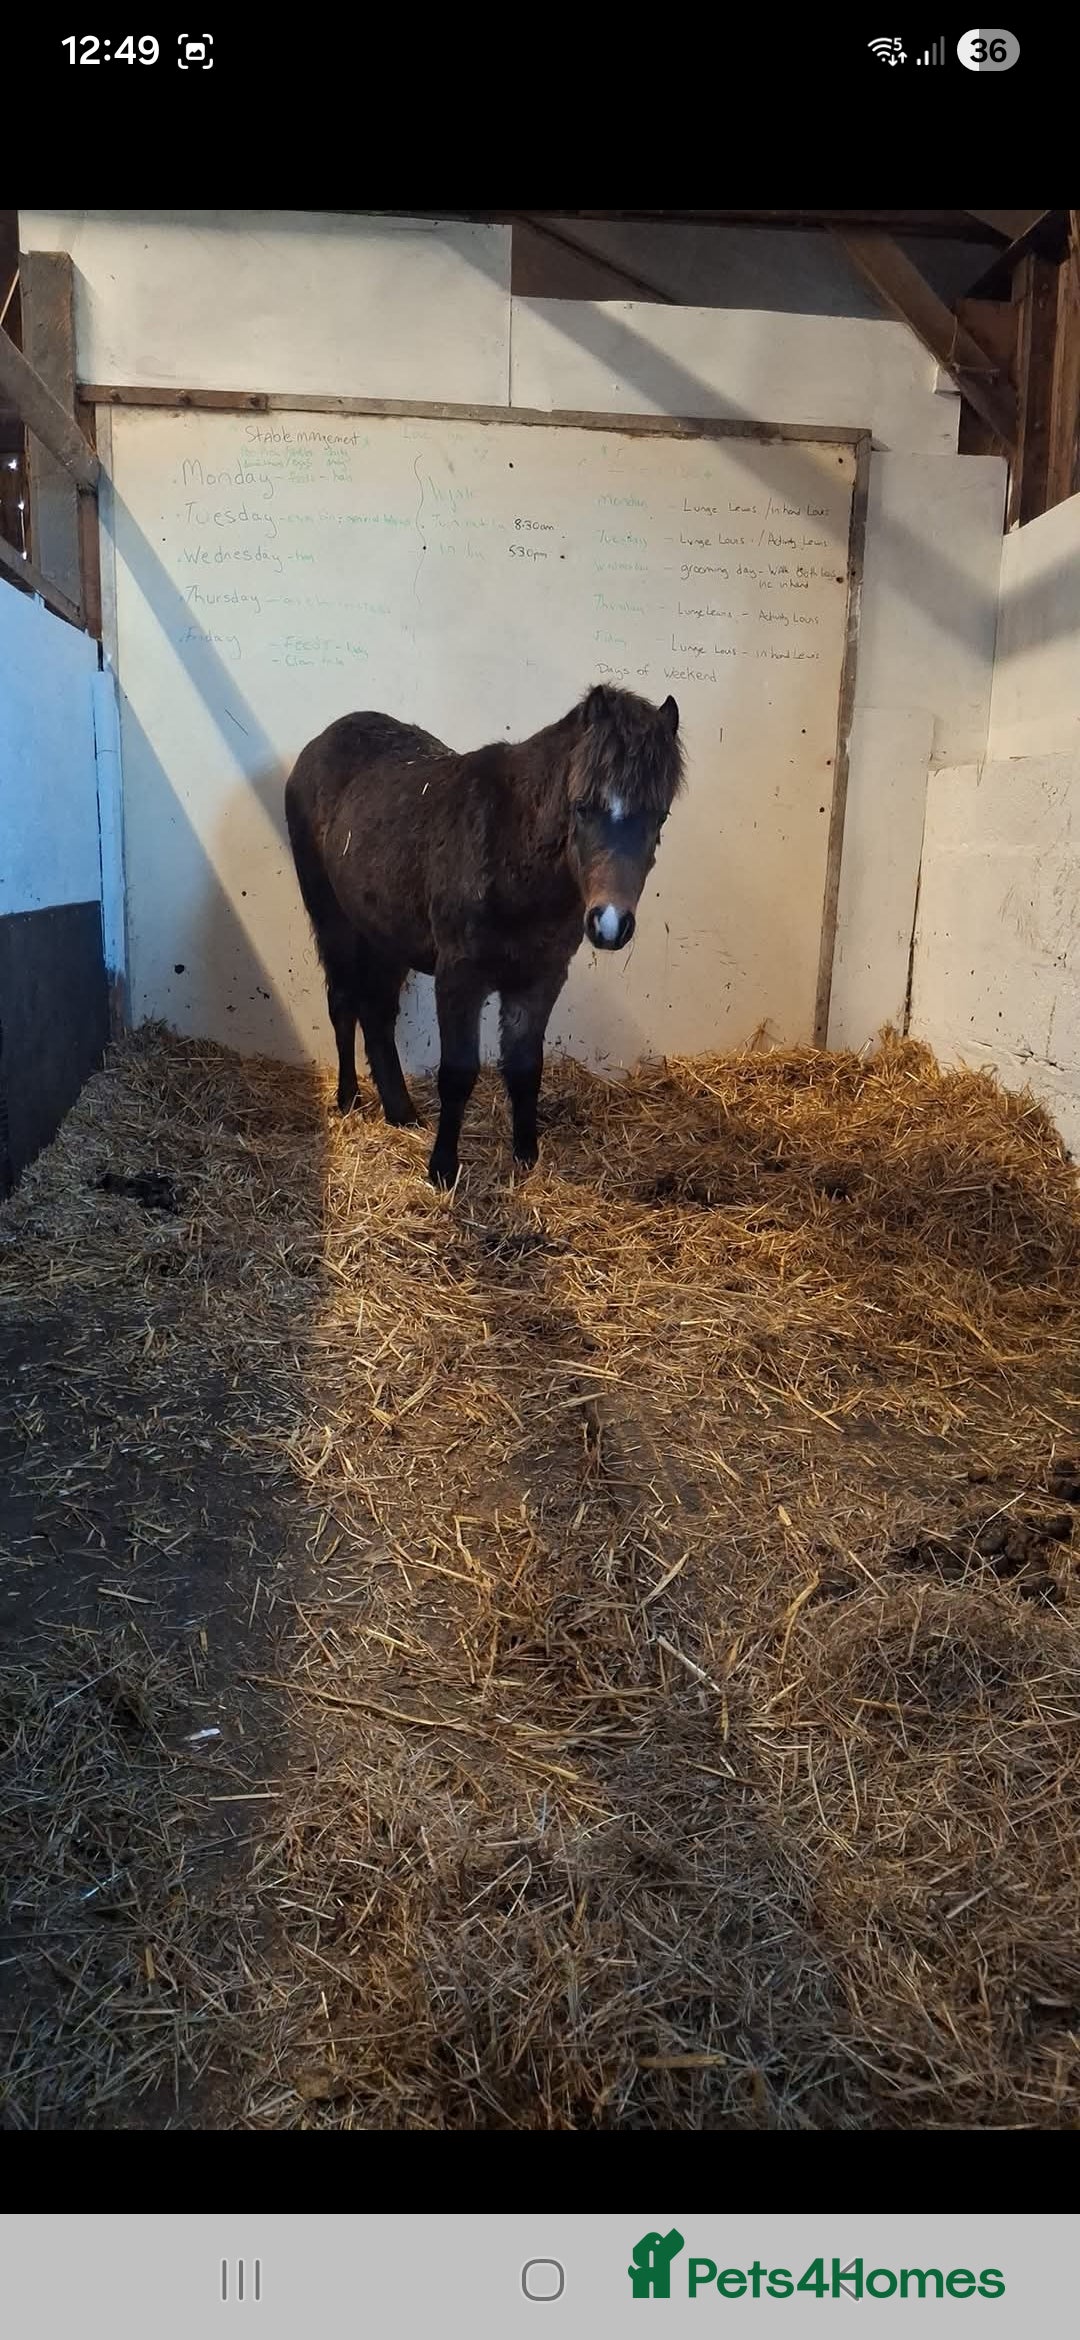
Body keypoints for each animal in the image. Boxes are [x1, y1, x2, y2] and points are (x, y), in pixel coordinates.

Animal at [284, 683, 685, 1187]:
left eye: (660, 816)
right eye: (582, 806)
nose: (610, 922)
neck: (511, 850)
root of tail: (320, 742)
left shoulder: (540, 979)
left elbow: (525, 1067)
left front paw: (526, 1157)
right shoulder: (460, 977)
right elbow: (458, 1072)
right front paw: (441, 1169)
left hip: (385, 937)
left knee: (376, 1015)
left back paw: (401, 1114)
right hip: (335, 923)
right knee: (342, 1005)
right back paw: (348, 1100)